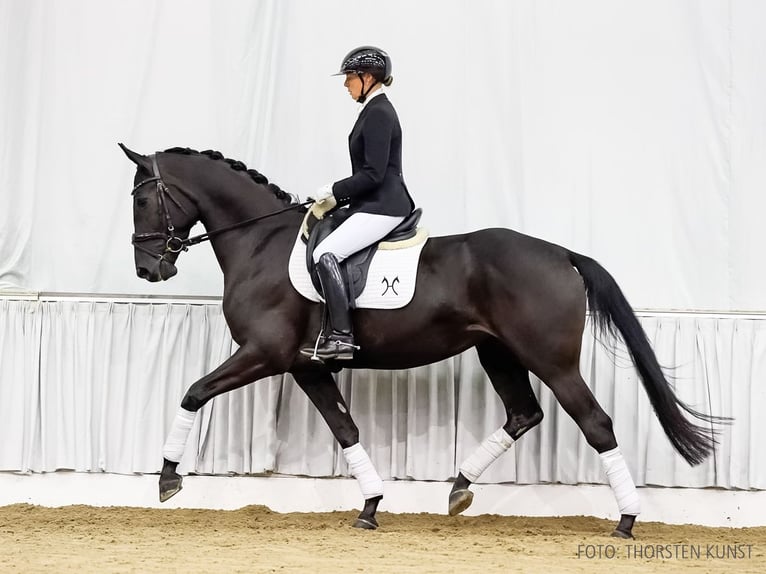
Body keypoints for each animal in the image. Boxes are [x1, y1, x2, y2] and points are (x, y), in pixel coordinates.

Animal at [120, 144, 728, 540]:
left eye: (142, 201)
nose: (150, 269)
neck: (260, 241)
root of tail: (561, 253)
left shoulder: (263, 354)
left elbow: (194, 392)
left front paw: (168, 478)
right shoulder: (306, 366)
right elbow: (346, 430)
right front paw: (370, 506)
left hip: (551, 360)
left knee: (595, 423)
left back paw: (626, 521)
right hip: (497, 352)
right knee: (524, 414)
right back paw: (459, 487)